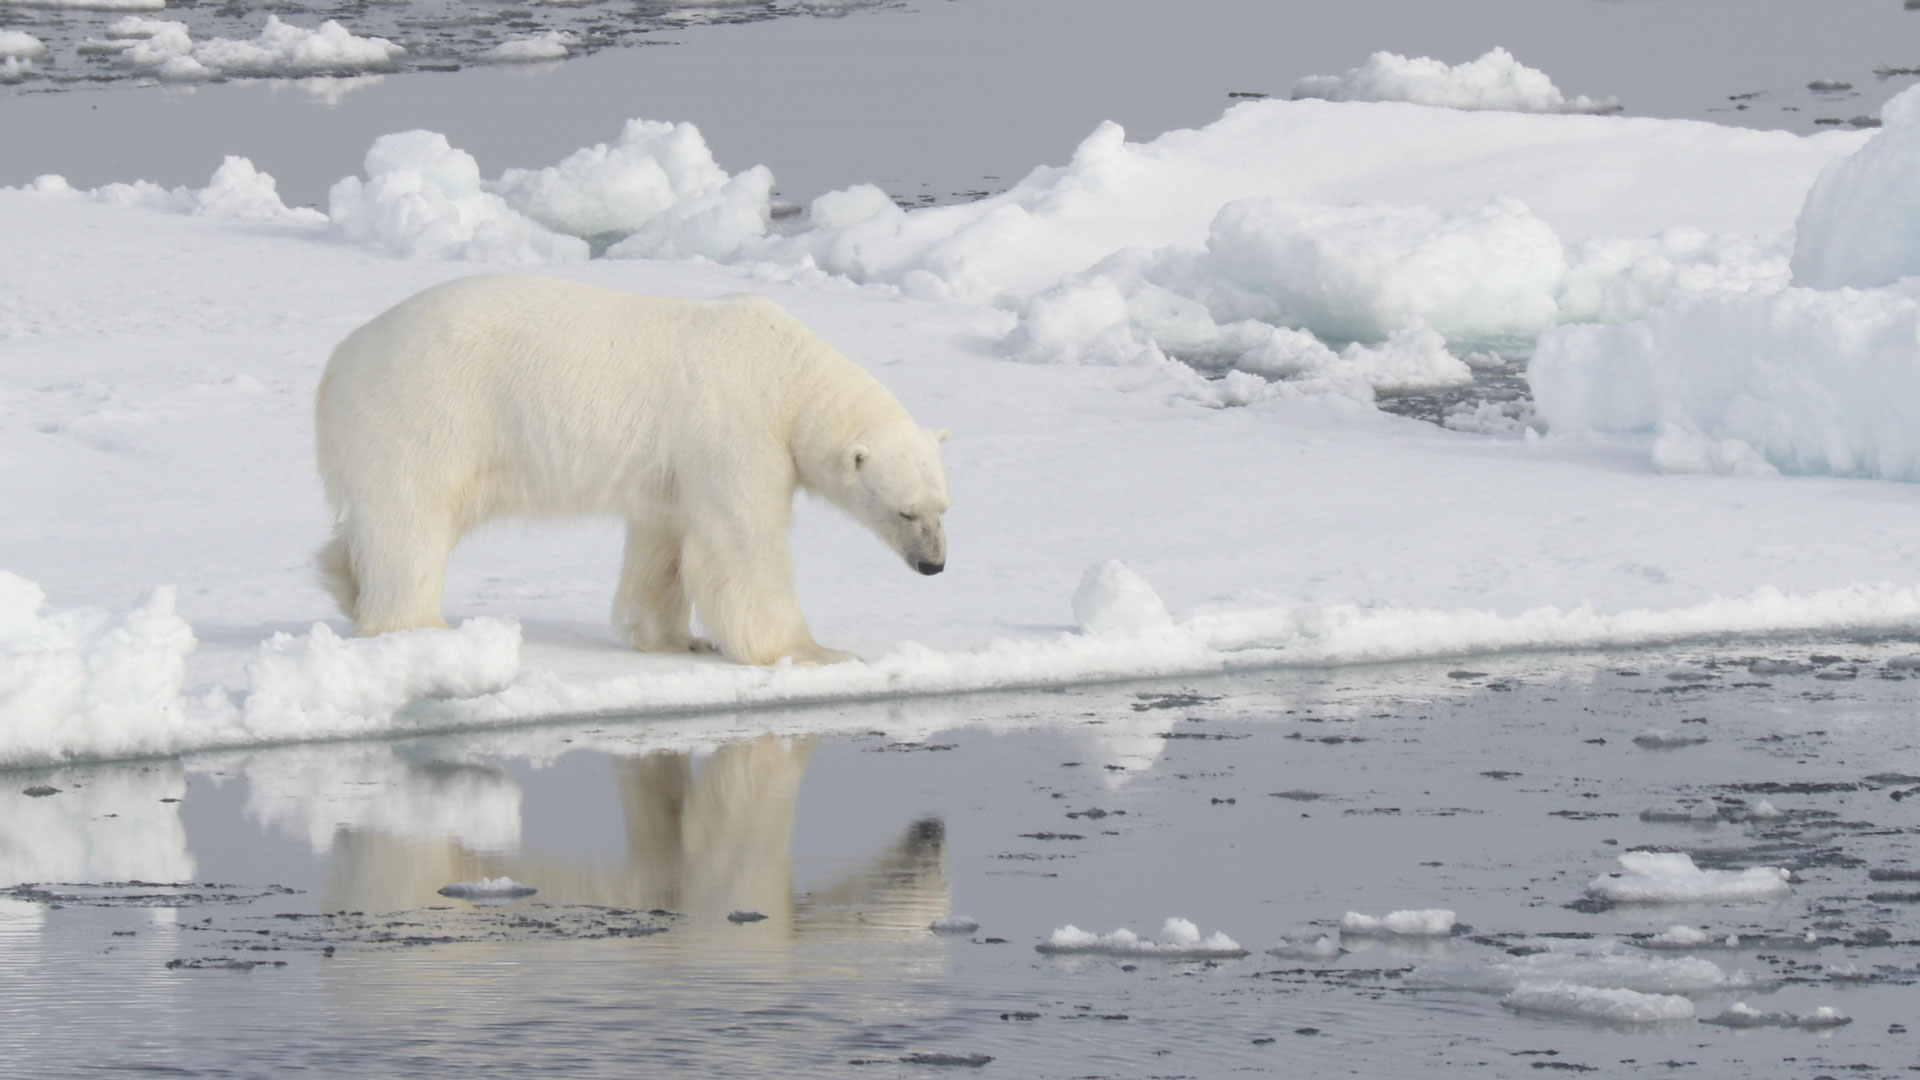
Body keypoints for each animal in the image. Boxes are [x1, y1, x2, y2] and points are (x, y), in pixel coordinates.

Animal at [314, 272, 952, 661]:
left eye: (944, 508)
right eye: (905, 511)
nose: (935, 566)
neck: (788, 375)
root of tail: (339, 361)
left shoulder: (671, 470)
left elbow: (664, 542)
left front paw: (679, 640)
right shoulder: (734, 429)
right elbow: (745, 543)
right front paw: (817, 650)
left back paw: (346, 581)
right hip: (426, 414)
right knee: (411, 523)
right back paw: (417, 628)